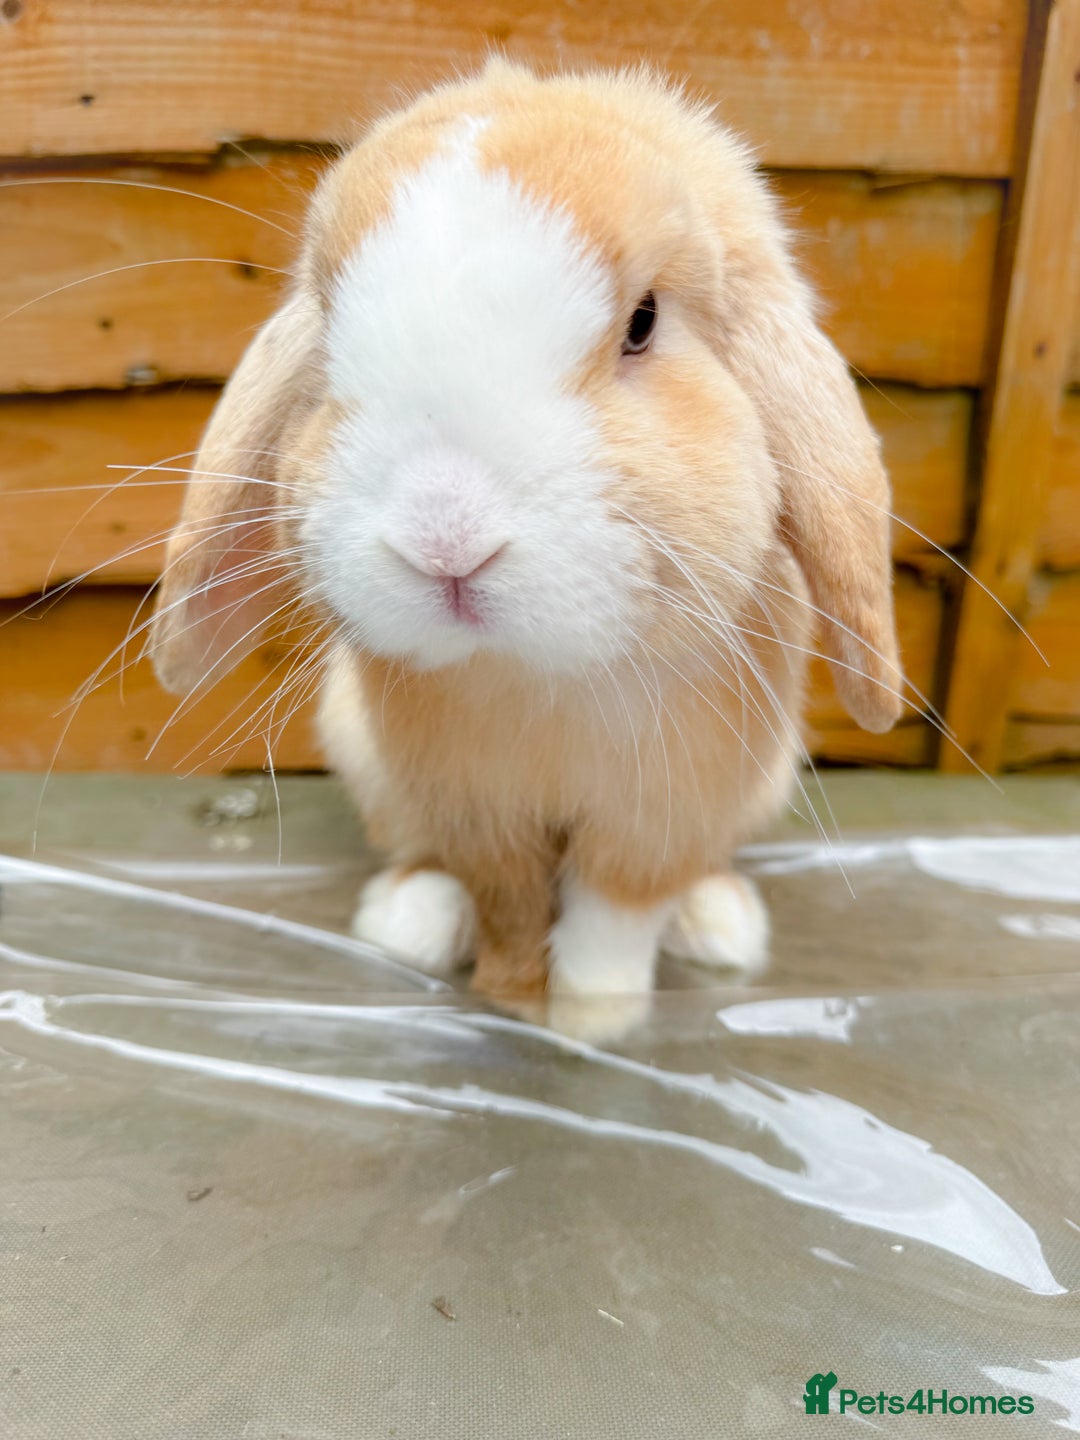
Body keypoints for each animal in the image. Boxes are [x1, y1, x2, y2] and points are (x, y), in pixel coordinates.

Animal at [149, 60, 901, 1041]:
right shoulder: (473, 803)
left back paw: (717, 925)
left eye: (643, 322)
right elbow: (506, 900)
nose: (446, 540)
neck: (548, 678)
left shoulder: (660, 811)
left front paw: (593, 1023)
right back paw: (409, 921)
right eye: (329, 327)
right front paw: (509, 999)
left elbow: (614, 916)